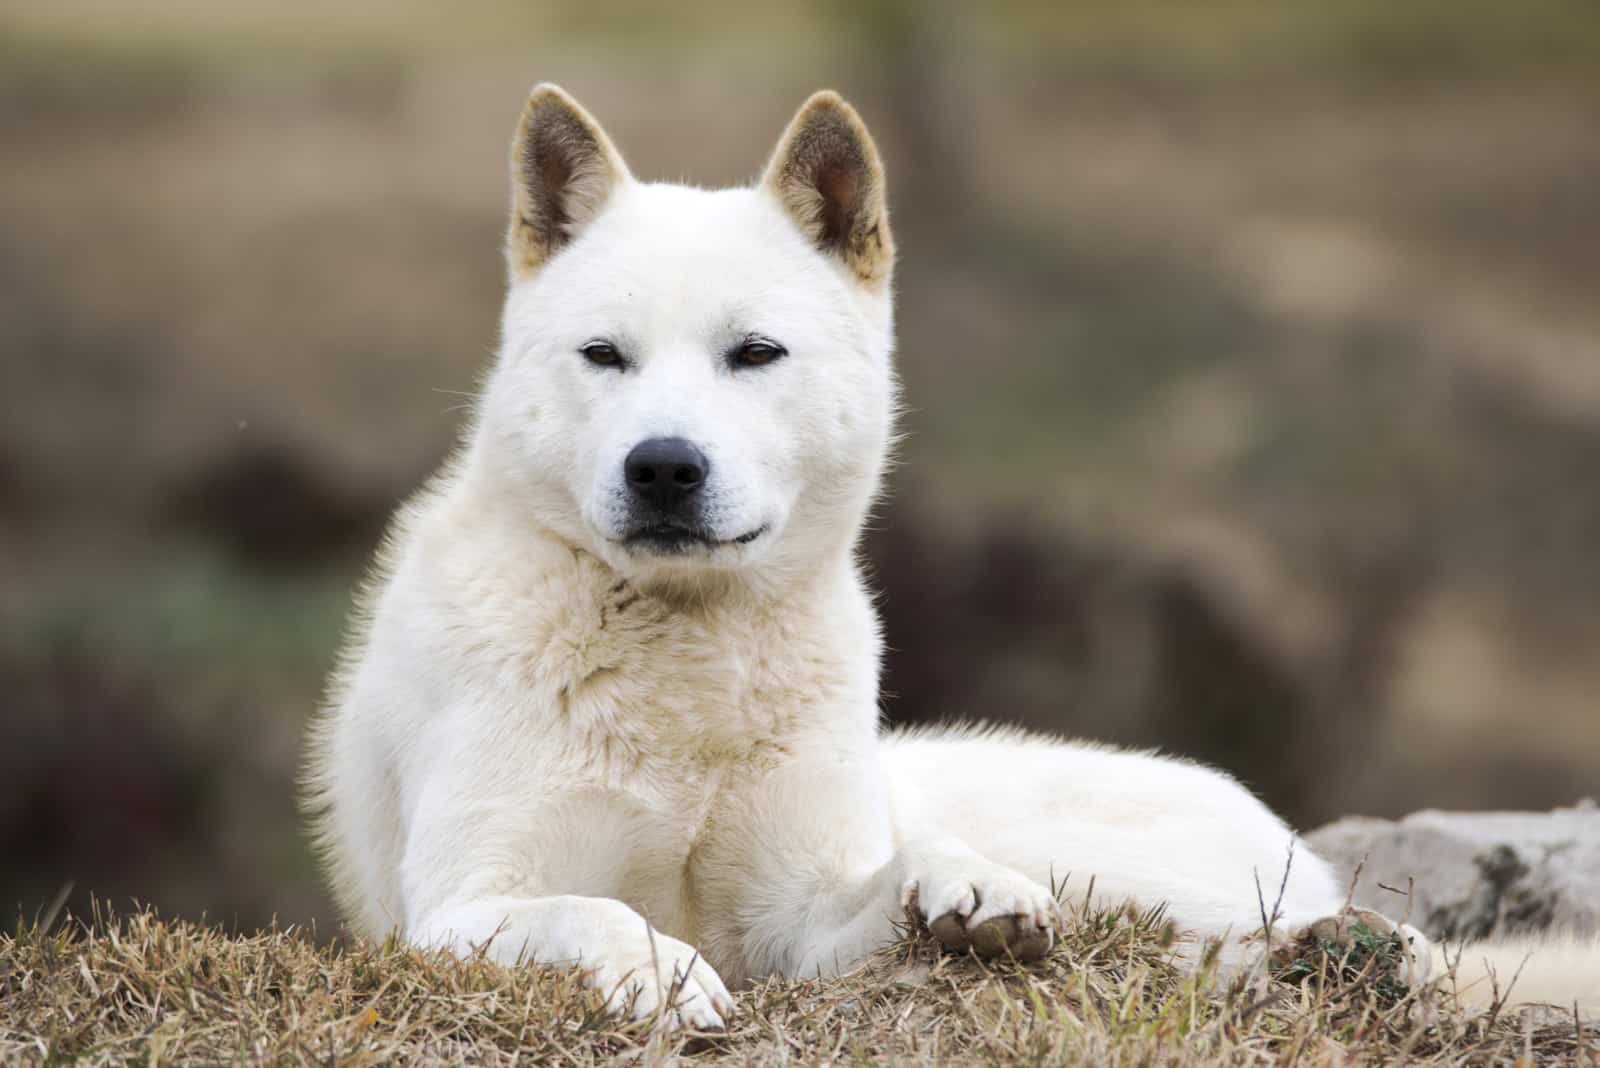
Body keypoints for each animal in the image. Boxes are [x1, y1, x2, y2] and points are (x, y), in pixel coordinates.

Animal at [302, 83, 1600, 1023]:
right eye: (603, 356)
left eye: (753, 353)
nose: (663, 467)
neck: (687, 665)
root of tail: (1288, 837)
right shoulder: (454, 909)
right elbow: (597, 914)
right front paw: (659, 972)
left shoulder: (788, 922)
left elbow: (889, 873)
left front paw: (964, 889)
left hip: (1131, 872)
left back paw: (1345, 949)